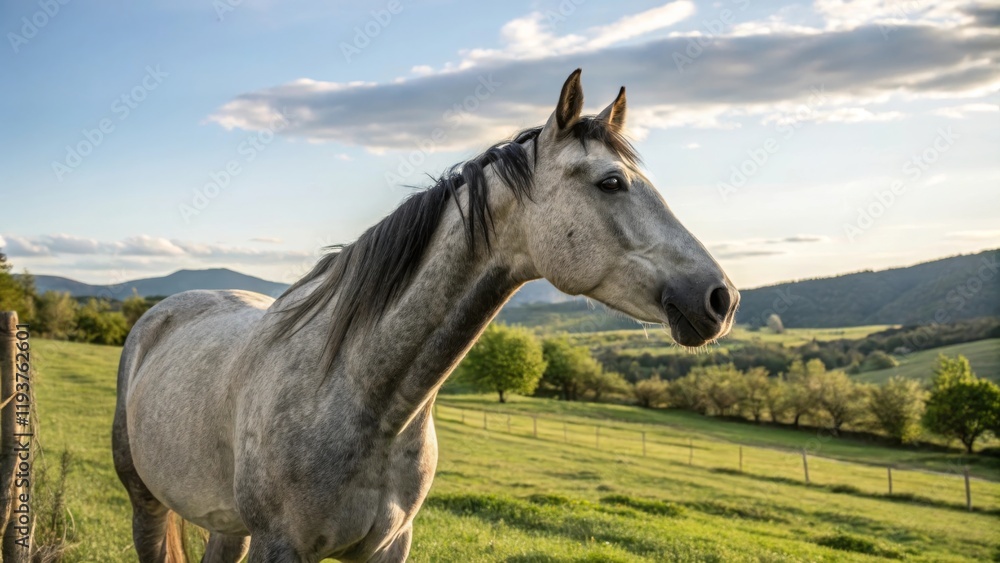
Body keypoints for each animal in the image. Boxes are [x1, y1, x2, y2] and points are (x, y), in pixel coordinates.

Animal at [112, 69, 739, 562]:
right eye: (612, 183)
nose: (722, 299)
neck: (362, 393)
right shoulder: (281, 546)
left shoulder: (390, 546)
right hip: (145, 501)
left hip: (228, 526)